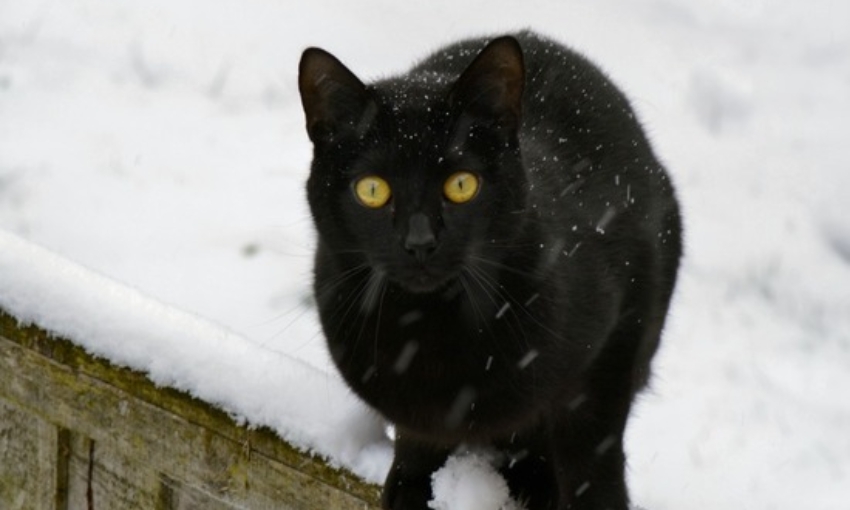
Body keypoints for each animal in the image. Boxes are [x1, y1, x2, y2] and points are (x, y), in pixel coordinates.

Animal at [298, 30, 684, 510]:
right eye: (372, 189)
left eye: (461, 185)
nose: (420, 241)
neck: (430, 329)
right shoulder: (416, 409)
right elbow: (420, 435)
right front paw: (411, 485)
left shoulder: (617, 334)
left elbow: (591, 446)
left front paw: (593, 500)